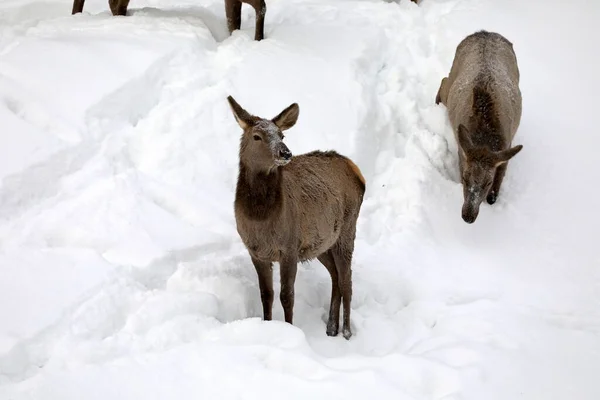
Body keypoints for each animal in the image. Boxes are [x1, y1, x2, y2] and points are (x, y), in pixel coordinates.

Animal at [226, 95, 364, 340]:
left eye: (282, 135)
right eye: (257, 136)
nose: (286, 153)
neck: (260, 219)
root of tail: (357, 171)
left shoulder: (289, 247)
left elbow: (286, 295)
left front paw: (290, 329)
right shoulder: (256, 252)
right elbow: (266, 294)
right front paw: (268, 325)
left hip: (348, 230)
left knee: (346, 280)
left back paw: (347, 332)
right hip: (322, 243)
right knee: (335, 277)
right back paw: (331, 327)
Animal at [434, 30, 524, 225]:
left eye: (487, 183)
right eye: (465, 177)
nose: (468, 216)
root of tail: (484, 32)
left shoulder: (505, 151)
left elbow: (494, 194)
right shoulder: (462, 153)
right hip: (452, 77)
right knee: (444, 80)